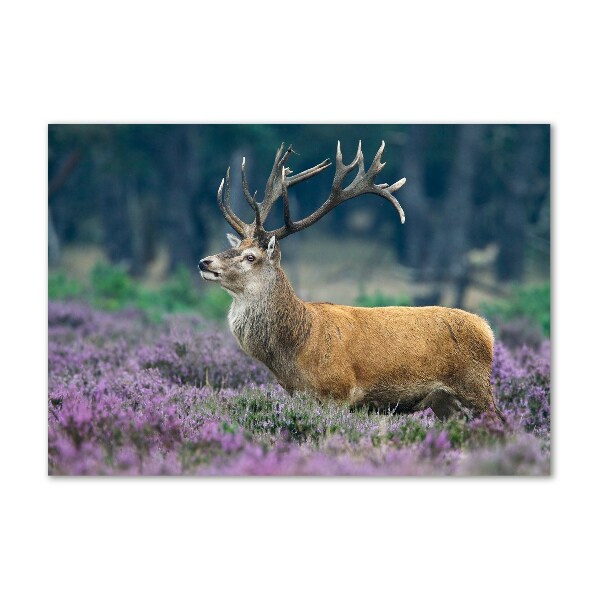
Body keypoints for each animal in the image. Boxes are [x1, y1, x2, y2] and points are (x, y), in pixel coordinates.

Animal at [198, 142, 502, 422]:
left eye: (250, 257)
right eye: (236, 248)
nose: (205, 262)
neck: (297, 348)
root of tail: (487, 330)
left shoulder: (339, 391)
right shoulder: (300, 395)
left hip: (477, 388)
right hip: (445, 402)